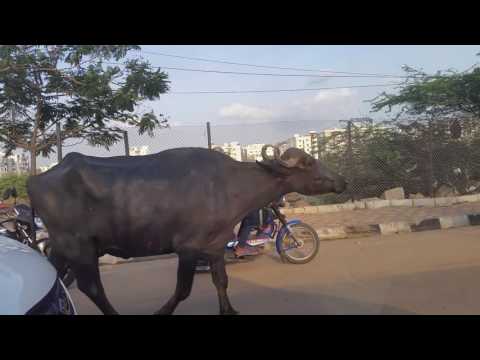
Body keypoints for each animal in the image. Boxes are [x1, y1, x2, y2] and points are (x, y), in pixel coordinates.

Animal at [27, 145, 344, 314]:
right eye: (308, 162)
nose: (341, 181)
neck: (228, 185)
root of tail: (36, 180)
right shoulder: (188, 248)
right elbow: (182, 289)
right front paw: (161, 311)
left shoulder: (215, 246)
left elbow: (221, 281)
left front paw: (228, 309)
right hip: (80, 247)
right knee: (91, 287)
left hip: (62, 247)